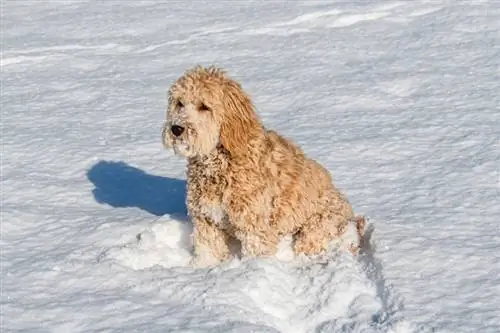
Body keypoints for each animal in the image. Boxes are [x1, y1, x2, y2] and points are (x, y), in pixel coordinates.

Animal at [162, 66, 366, 266]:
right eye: (180, 103)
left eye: (204, 106)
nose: (176, 128)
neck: (219, 162)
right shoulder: (206, 219)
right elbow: (208, 251)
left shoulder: (253, 222)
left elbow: (255, 251)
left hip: (317, 227)